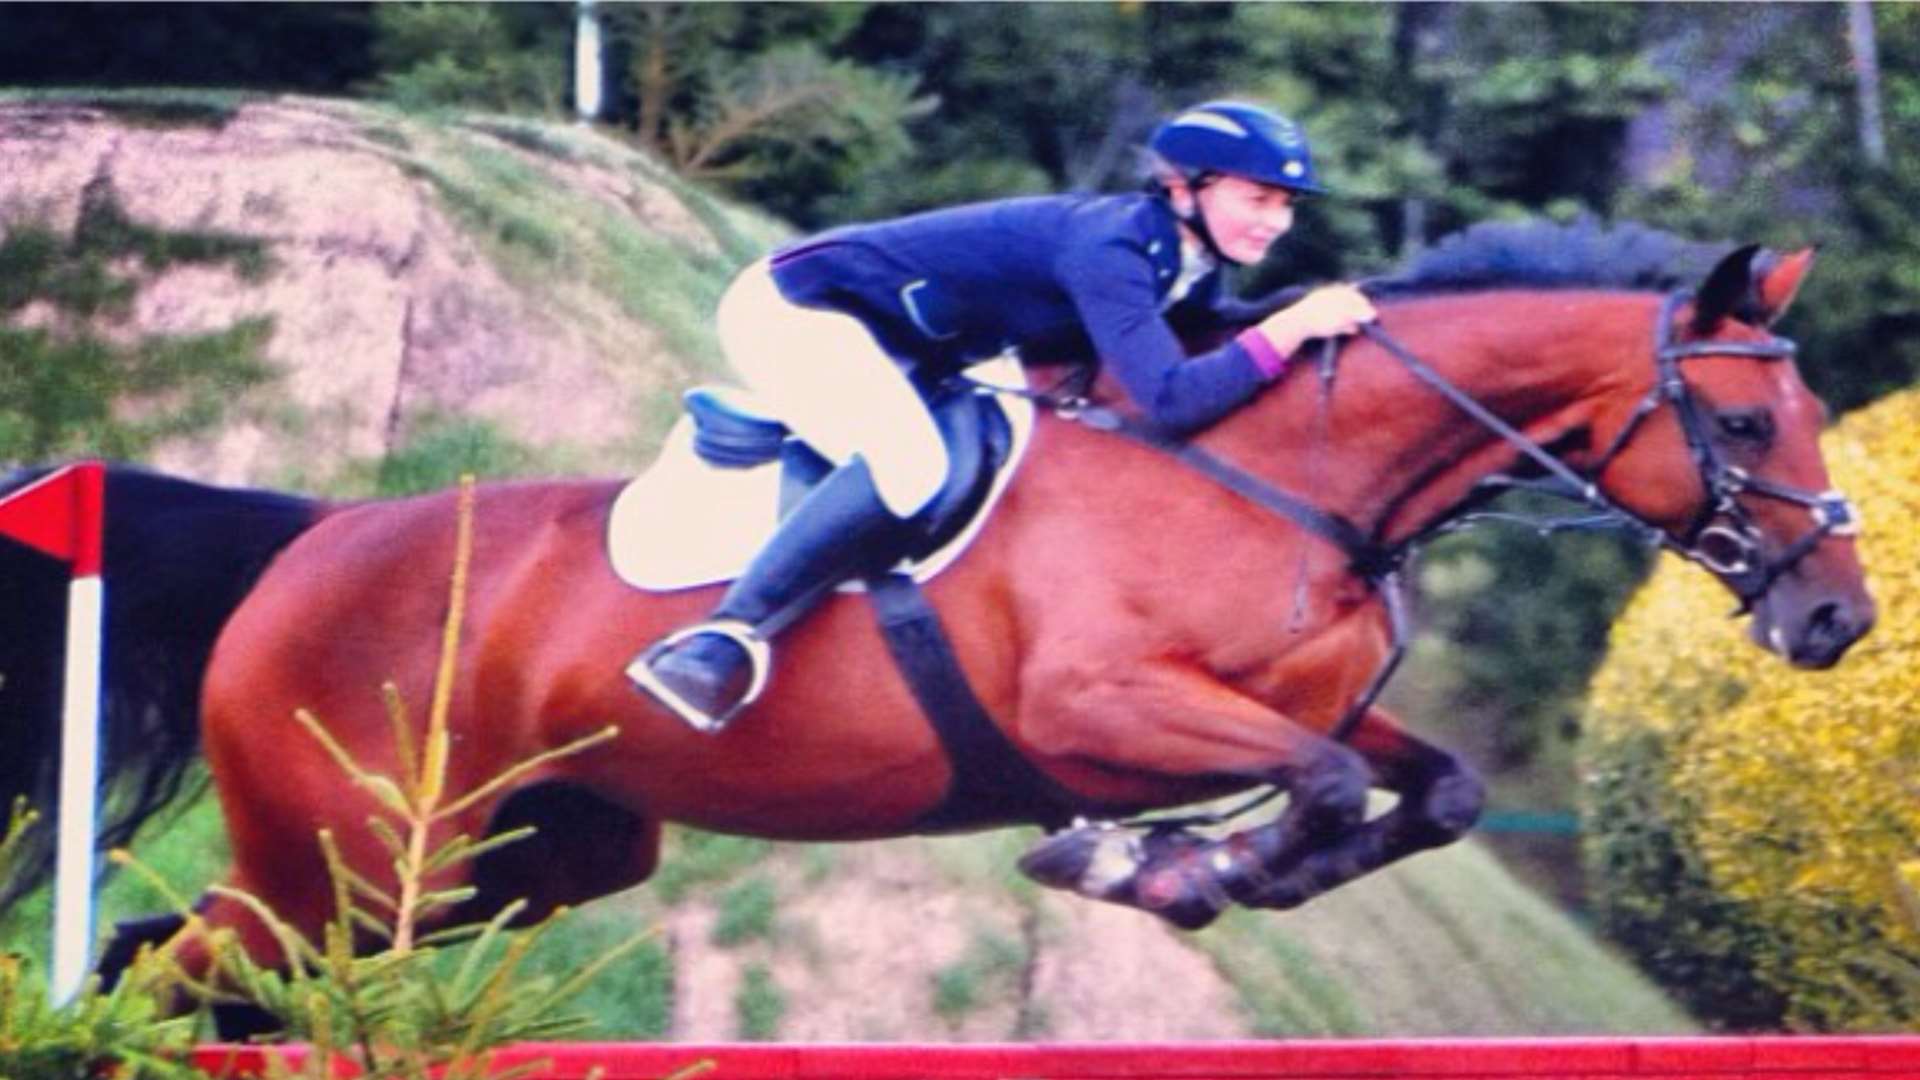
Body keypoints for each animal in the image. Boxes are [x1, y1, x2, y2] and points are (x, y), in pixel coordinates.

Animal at [0, 222, 1866, 999]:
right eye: (1746, 420)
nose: (1838, 624)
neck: (1289, 476)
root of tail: (311, 541)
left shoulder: (1303, 702)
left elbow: (1430, 784)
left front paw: (1209, 868)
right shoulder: (1102, 710)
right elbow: (1322, 786)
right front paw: (1161, 868)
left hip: (509, 865)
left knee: (189, 962)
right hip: (348, 855)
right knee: (179, 972)